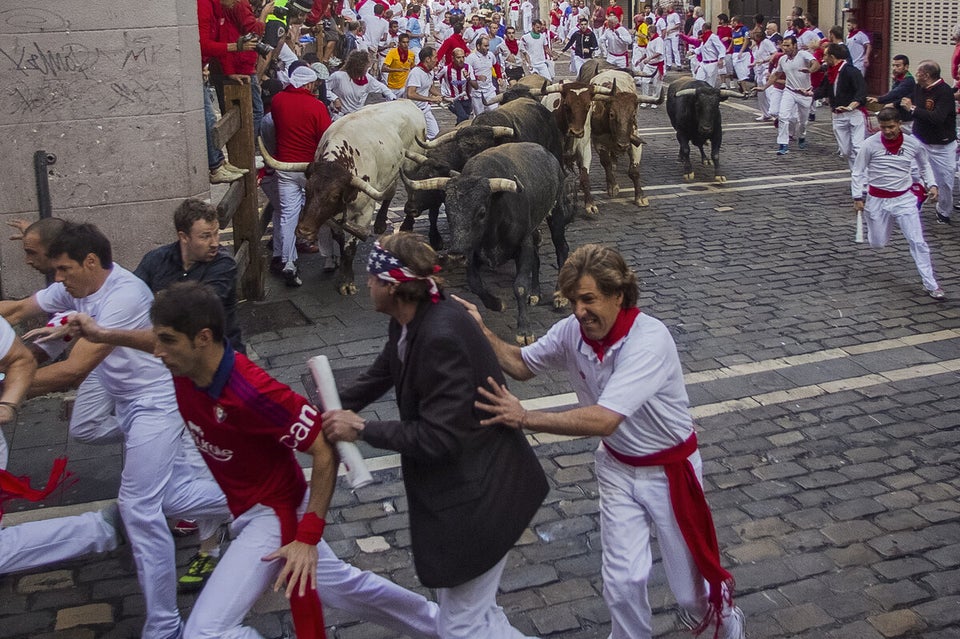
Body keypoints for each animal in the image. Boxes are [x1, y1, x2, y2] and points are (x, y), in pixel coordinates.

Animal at [258, 102, 424, 296]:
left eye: (335, 195)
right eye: (307, 189)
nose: (304, 231)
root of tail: (407, 102)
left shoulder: (364, 213)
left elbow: (350, 248)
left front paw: (347, 282)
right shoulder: (332, 217)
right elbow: (339, 240)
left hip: (411, 165)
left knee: (411, 187)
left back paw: (406, 224)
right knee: (390, 190)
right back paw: (381, 223)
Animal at [402, 143, 572, 348]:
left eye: (481, 212)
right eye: (448, 212)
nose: (455, 255)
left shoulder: (523, 245)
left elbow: (519, 286)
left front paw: (524, 331)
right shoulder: (471, 251)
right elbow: (475, 284)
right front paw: (497, 304)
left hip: (557, 215)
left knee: (561, 249)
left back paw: (559, 295)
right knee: (538, 258)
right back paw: (535, 293)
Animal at [588, 71, 664, 209]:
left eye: (633, 114)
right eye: (612, 114)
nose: (622, 145)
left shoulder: (634, 142)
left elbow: (634, 171)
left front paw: (640, 197)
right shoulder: (598, 142)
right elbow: (606, 163)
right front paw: (612, 186)